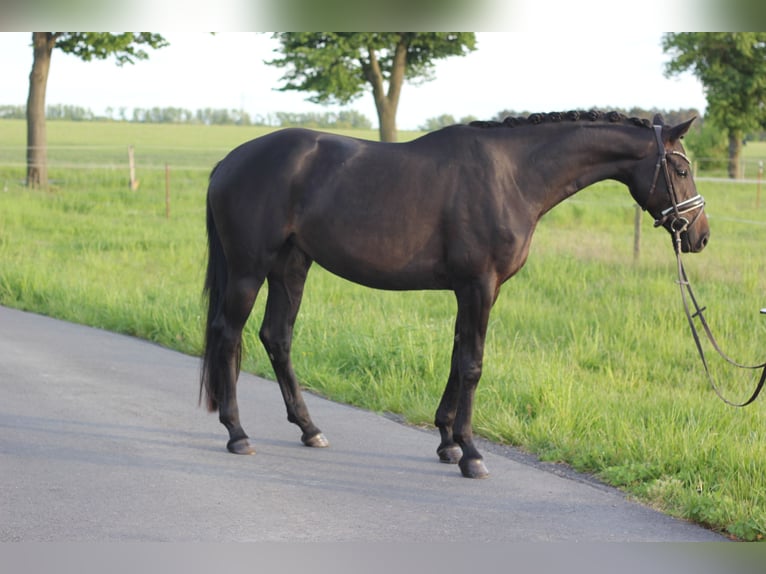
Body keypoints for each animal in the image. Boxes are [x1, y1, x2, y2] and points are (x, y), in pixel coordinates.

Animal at [201, 110, 712, 480]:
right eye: (682, 168)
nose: (700, 235)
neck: (513, 177)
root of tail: (228, 162)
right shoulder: (478, 284)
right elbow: (472, 365)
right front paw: (471, 453)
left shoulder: (477, 289)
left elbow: (456, 356)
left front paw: (447, 441)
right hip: (249, 270)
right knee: (228, 335)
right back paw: (237, 432)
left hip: (291, 266)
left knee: (277, 337)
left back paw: (310, 429)